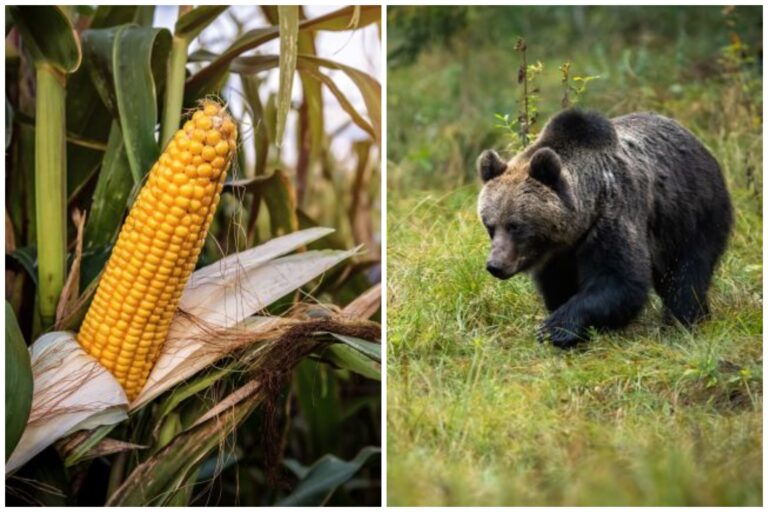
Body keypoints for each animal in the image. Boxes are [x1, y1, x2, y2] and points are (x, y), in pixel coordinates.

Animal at [476, 108, 736, 348]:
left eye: (515, 226)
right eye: (490, 225)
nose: (495, 265)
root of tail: (698, 142)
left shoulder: (612, 215)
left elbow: (619, 280)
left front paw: (554, 328)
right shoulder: (559, 255)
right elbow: (559, 286)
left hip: (692, 214)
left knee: (686, 273)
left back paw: (682, 323)